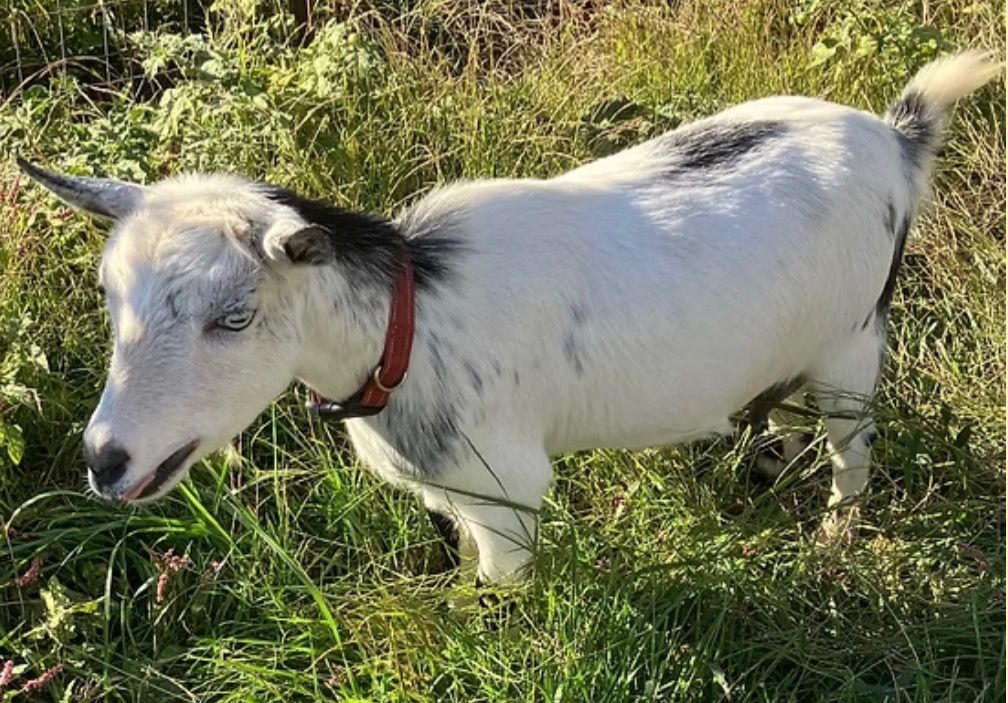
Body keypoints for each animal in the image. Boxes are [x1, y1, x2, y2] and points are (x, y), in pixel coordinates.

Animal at [20, 51, 1000, 585]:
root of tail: (896, 137)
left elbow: (494, 597)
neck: (407, 326)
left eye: (233, 317)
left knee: (853, 448)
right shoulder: (457, 493)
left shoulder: (508, 492)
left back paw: (835, 534)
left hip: (854, 340)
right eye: (109, 299)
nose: (108, 460)